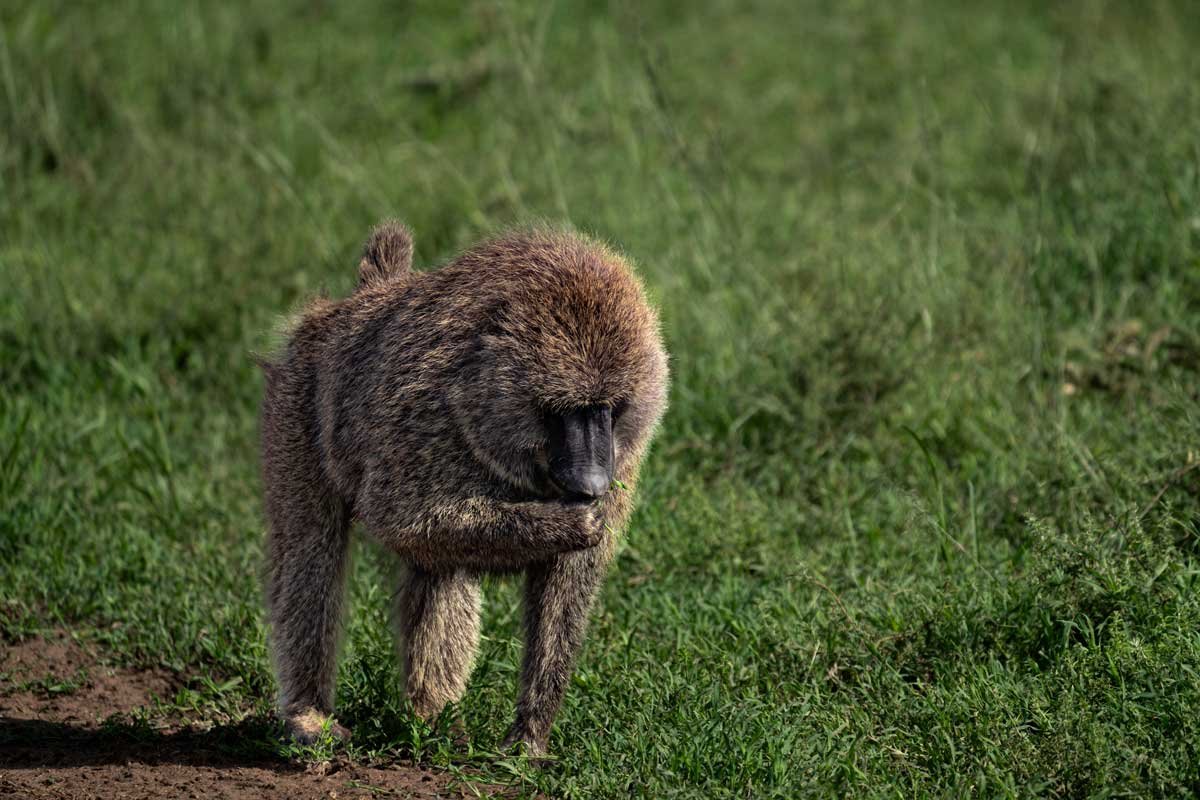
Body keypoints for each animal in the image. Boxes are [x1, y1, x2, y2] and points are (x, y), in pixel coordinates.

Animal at [260, 221, 668, 756]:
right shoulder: (424, 412)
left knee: (438, 570)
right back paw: (309, 715)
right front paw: (571, 523)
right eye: (566, 409)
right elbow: (399, 517)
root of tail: (357, 302)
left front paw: (530, 736)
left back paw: (432, 717)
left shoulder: (627, 451)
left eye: (608, 408)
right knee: (311, 551)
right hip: (299, 397)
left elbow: (566, 576)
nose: (593, 484)